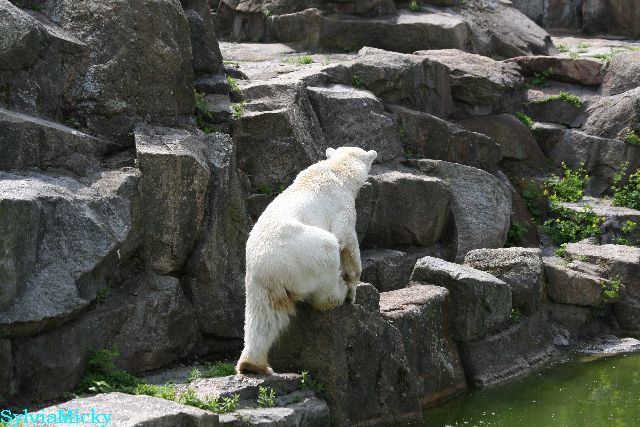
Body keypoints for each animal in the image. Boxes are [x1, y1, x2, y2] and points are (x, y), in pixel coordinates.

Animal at [236, 146, 377, 375]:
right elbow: (347, 240)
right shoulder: (342, 206)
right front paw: (353, 289)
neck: (337, 171)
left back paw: (252, 365)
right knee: (329, 252)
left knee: (262, 317)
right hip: (306, 252)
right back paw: (339, 293)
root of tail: (270, 267)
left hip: (259, 282)